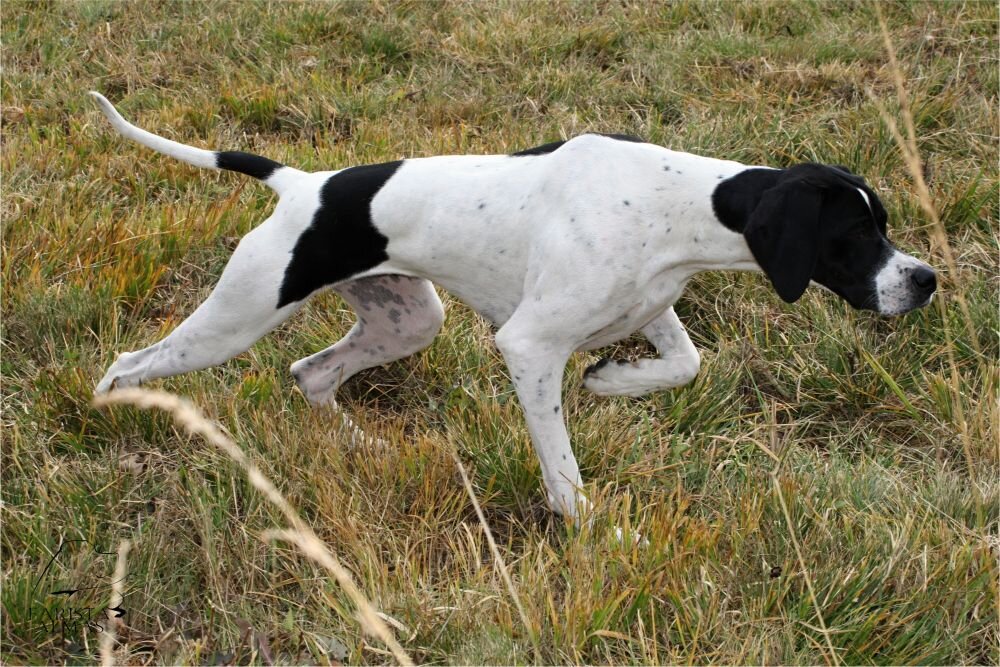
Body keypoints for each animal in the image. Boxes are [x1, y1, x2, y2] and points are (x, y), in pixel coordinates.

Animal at [90, 91, 932, 524]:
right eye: (856, 235)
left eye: (884, 223)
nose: (923, 279)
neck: (679, 201)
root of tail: (303, 183)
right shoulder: (529, 346)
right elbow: (561, 463)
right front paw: (588, 523)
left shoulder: (649, 305)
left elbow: (685, 364)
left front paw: (611, 382)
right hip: (235, 318)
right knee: (127, 364)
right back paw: (116, 426)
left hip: (407, 317)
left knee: (312, 372)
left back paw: (364, 447)